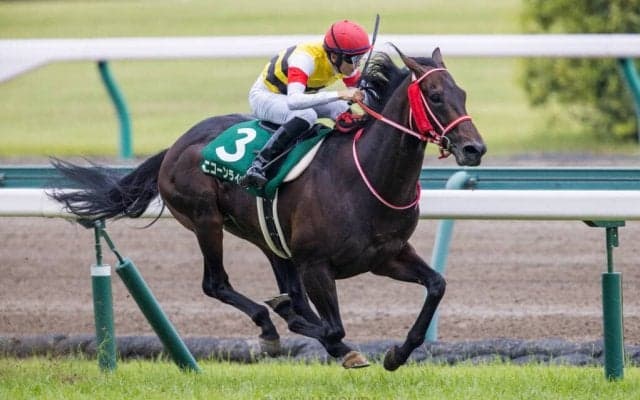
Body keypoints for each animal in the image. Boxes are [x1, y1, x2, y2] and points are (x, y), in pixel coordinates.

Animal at [50, 46, 486, 371]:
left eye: (463, 93)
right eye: (435, 97)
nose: (474, 148)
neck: (365, 178)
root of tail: (175, 145)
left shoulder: (387, 256)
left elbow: (436, 285)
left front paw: (397, 354)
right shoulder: (316, 264)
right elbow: (333, 328)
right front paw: (303, 325)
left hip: (267, 235)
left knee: (277, 281)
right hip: (206, 220)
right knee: (216, 283)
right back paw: (270, 325)